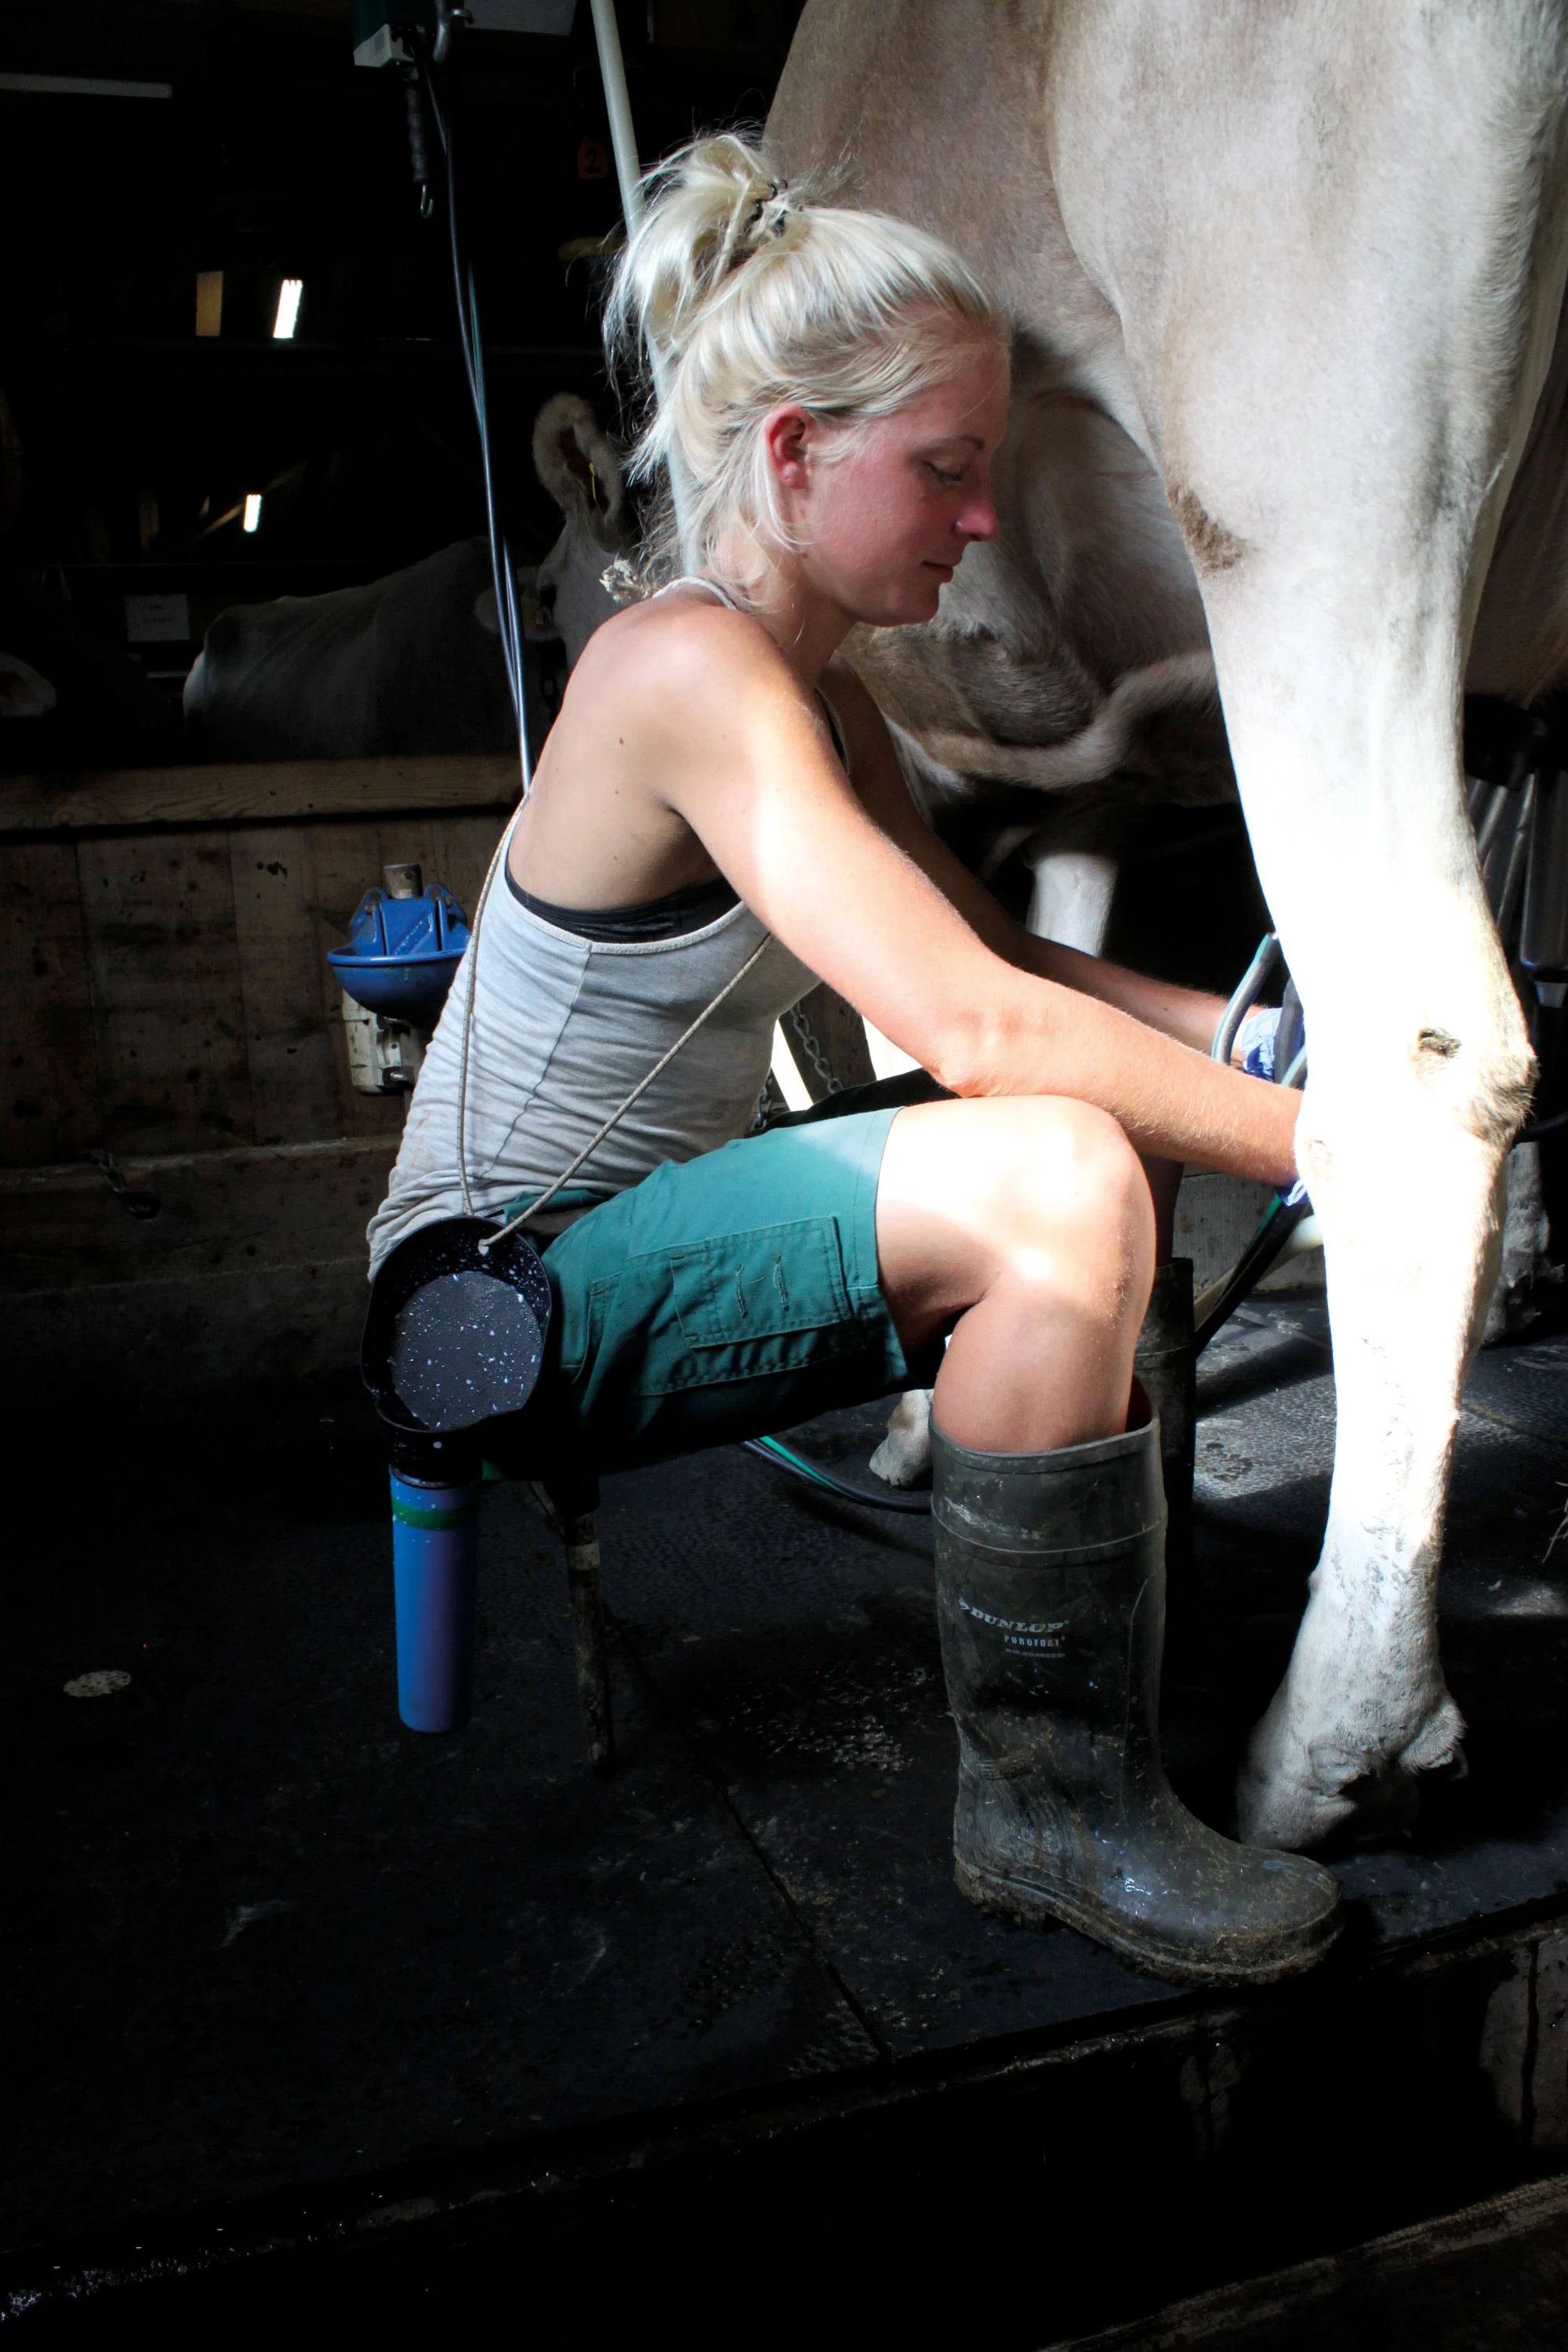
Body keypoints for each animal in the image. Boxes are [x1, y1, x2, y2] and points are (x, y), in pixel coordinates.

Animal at [771, 4, 1568, 1853]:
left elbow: (899, 1045)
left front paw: (914, 1414)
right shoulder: (1083, 808)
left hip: (1319, 493)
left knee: (1424, 1048)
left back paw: (1331, 1748)